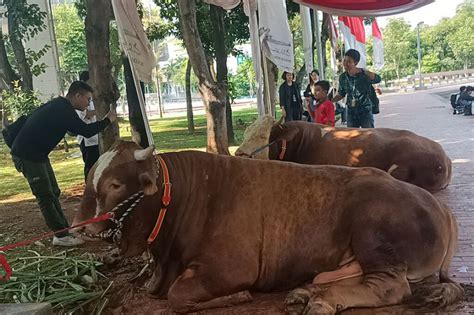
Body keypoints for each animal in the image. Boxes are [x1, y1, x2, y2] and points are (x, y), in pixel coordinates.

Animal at [74, 142, 462, 314]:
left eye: (114, 185)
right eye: (90, 178)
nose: (81, 227)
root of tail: (442, 209)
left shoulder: (231, 268)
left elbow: (178, 296)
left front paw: (238, 297)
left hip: (375, 235)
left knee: (389, 287)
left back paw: (322, 302)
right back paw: (307, 292)